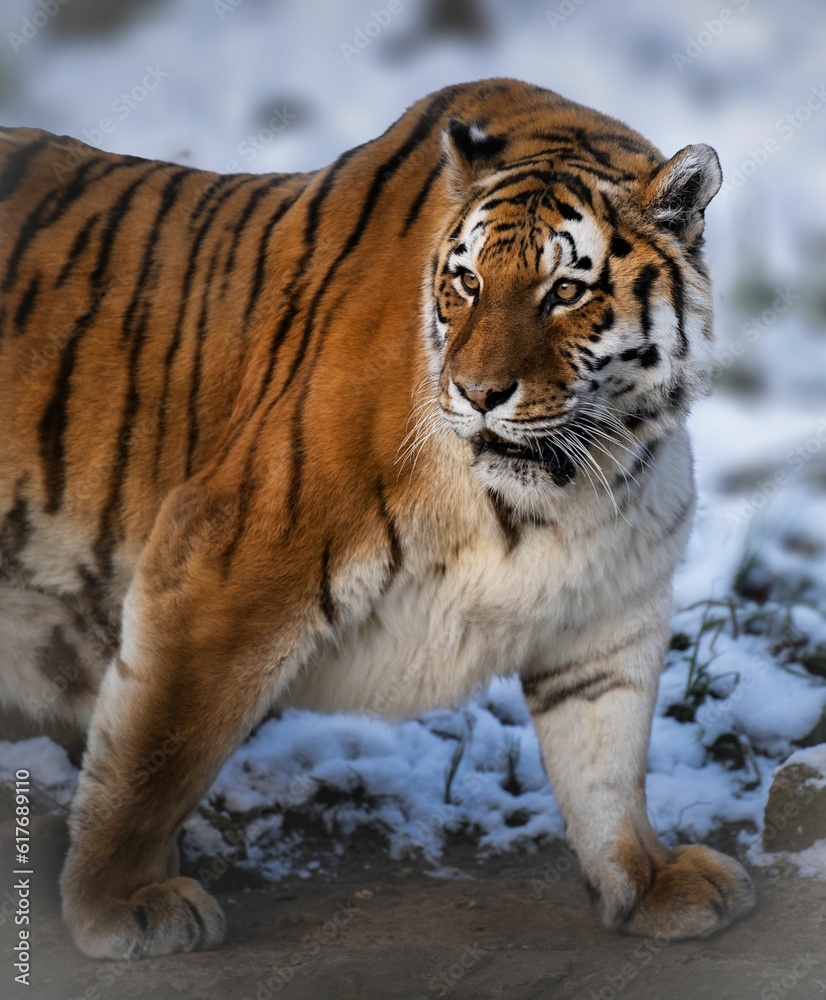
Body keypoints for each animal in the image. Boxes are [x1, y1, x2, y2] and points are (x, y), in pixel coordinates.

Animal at [0, 76, 755, 959]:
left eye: (567, 291)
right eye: (468, 284)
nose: (478, 393)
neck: (563, 491)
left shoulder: (610, 609)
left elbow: (607, 760)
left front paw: (645, 880)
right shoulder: (221, 562)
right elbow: (157, 751)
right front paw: (118, 903)